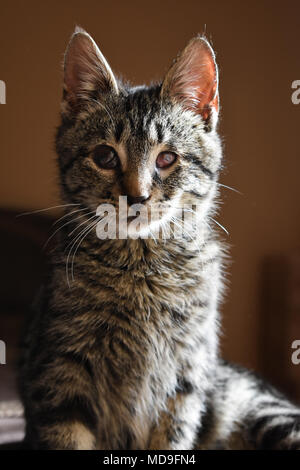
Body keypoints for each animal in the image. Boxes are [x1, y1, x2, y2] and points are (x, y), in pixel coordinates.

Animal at [19, 27, 300, 450]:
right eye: (105, 157)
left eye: (167, 159)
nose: (136, 196)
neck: (141, 266)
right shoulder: (59, 375)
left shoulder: (185, 381)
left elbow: (171, 438)